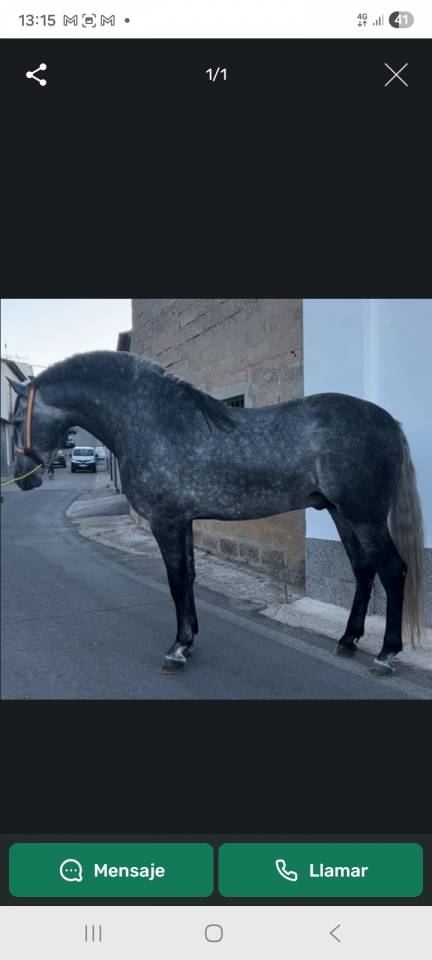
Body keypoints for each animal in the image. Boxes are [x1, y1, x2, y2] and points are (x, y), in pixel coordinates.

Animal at [11, 349, 425, 677]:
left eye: (16, 422)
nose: (22, 478)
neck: (152, 420)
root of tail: (388, 421)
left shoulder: (166, 522)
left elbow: (176, 581)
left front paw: (177, 649)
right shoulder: (184, 522)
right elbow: (189, 577)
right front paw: (190, 638)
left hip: (365, 517)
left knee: (392, 571)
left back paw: (386, 654)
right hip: (342, 514)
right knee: (363, 570)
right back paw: (347, 640)